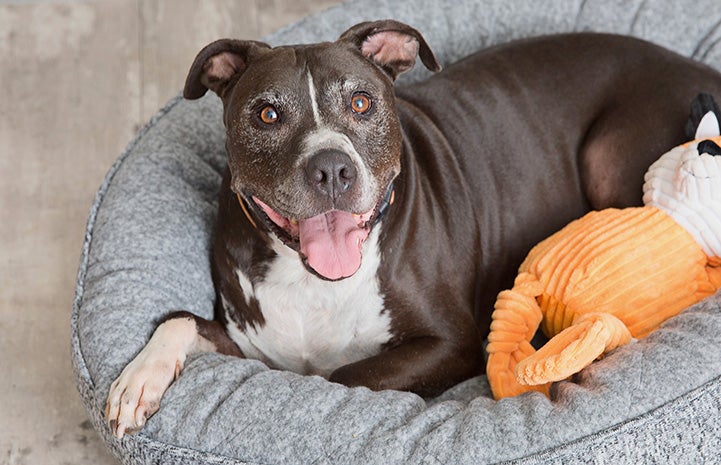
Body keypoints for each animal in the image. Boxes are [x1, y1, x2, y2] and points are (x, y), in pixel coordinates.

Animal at [104, 19, 720, 438]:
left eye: (360, 102)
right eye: (267, 114)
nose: (331, 168)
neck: (311, 281)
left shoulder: (450, 343)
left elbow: (339, 377)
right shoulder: (254, 341)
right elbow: (181, 320)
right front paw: (139, 378)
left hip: (608, 156)